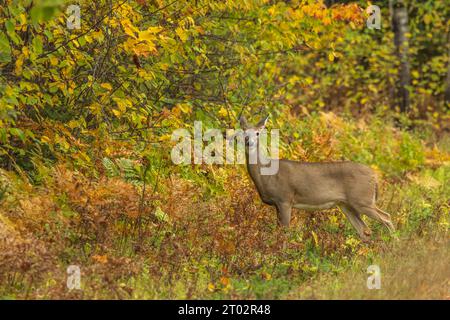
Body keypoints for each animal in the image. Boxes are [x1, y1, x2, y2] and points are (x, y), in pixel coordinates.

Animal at [239, 115, 394, 240]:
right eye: (244, 132)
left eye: (258, 133)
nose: (248, 142)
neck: (267, 176)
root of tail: (374, 176)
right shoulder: (277, 204)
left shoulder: (285, 199)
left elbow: (285, 232)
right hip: (346, 204)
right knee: (364, 230)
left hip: (362, 199)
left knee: (386, 217)